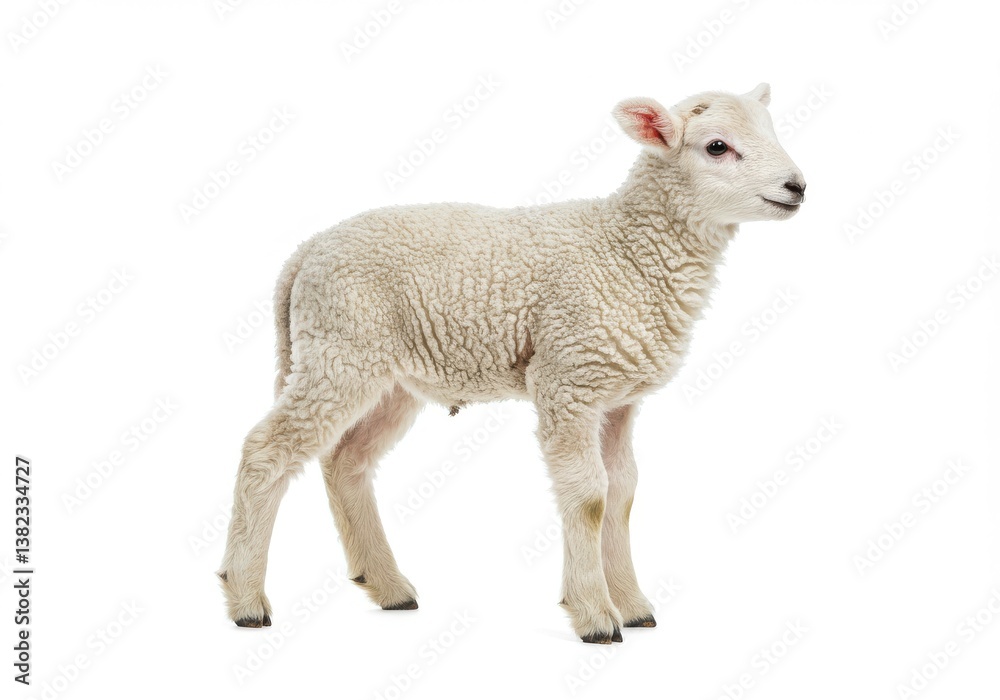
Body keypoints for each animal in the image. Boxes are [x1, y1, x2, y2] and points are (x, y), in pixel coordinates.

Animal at [217, 83, 806, 644]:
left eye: (773, 129)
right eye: (716, 146)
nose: (798, 186)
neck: (629, 251)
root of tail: (305, 252)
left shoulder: (618, 397)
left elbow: (623, 492)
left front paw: (633, 605)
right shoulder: (568, 378)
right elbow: (589, 497)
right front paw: (595, 614)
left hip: (389, 377)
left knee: (347, 462)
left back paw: (387, 586)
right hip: (339, 351)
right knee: (266, 451)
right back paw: (246, 599)